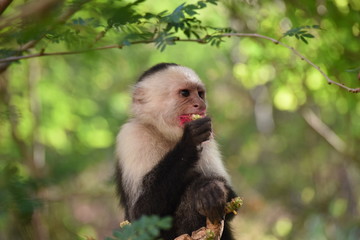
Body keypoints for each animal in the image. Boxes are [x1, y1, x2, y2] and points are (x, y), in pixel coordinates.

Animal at [115, 62, 238, 239]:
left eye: (200, 94)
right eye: (185, 93)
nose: (201, 105)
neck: (165, 133)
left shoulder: (209, 139)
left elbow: (232, 202)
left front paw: (213, 188)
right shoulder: (132, 136)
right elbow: (140, 215)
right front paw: (190, 141)